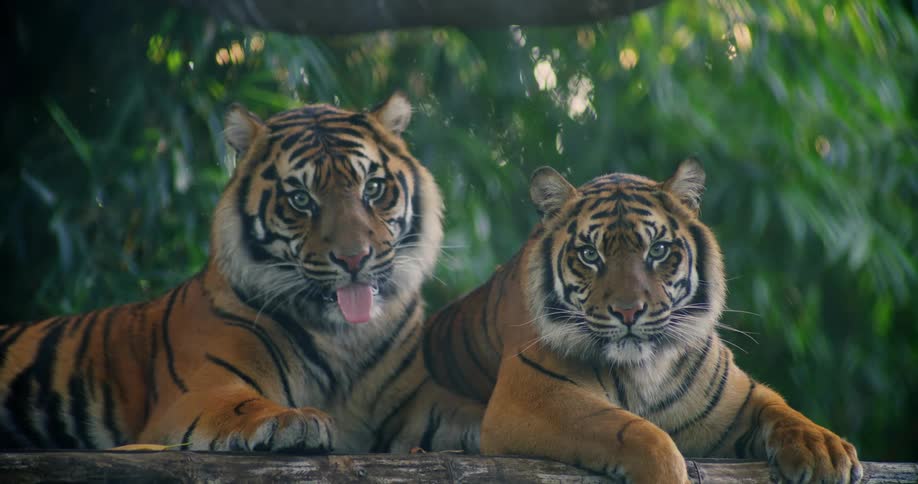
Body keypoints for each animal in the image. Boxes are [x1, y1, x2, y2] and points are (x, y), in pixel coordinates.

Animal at [0, 93, 483, 454]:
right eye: (301, 199)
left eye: (374, 188)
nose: (354, 258)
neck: (343, 336)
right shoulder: (202, 389)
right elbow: (244, 405)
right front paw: (294, 421)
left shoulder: (417, 399)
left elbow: (466, 411)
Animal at [423, 160, 862, 483]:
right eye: (589, 254)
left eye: (659, 249)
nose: (629, 311)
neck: (647, 369)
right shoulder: (532, 396)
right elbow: (641, 433)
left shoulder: (738, 399)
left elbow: (783, 409)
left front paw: (825, 450)